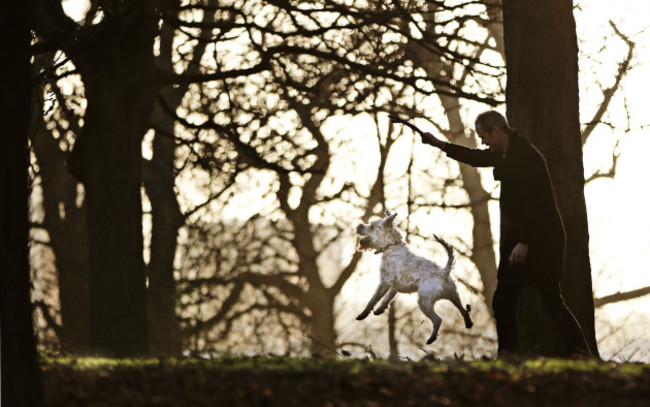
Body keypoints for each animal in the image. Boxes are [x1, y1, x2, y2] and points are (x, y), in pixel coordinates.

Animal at [354, 212, 470, 346]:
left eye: (372, 226)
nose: (358, 225)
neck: (391, 246)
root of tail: (444, 272)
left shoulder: (384, 282)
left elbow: (373, 300)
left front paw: (362, 314)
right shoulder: (394, 287)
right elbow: (386, 299)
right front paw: (380, 310)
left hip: (424, 302)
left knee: (438, 320)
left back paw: (431, 339)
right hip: (454, 296)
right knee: (464, 311)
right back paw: (468, 324)